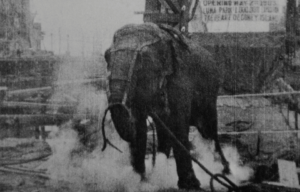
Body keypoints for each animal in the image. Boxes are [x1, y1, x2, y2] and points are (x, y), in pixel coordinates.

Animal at [103, 23, 230, 190]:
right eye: (106, 57)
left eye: (142, 60)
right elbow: (140, 126)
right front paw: (139, 182)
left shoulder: (180, 80)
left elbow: (177, 123)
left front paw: (190, 185)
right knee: (164, 127)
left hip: (210, 92)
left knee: (208, 129)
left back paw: (225, 171)